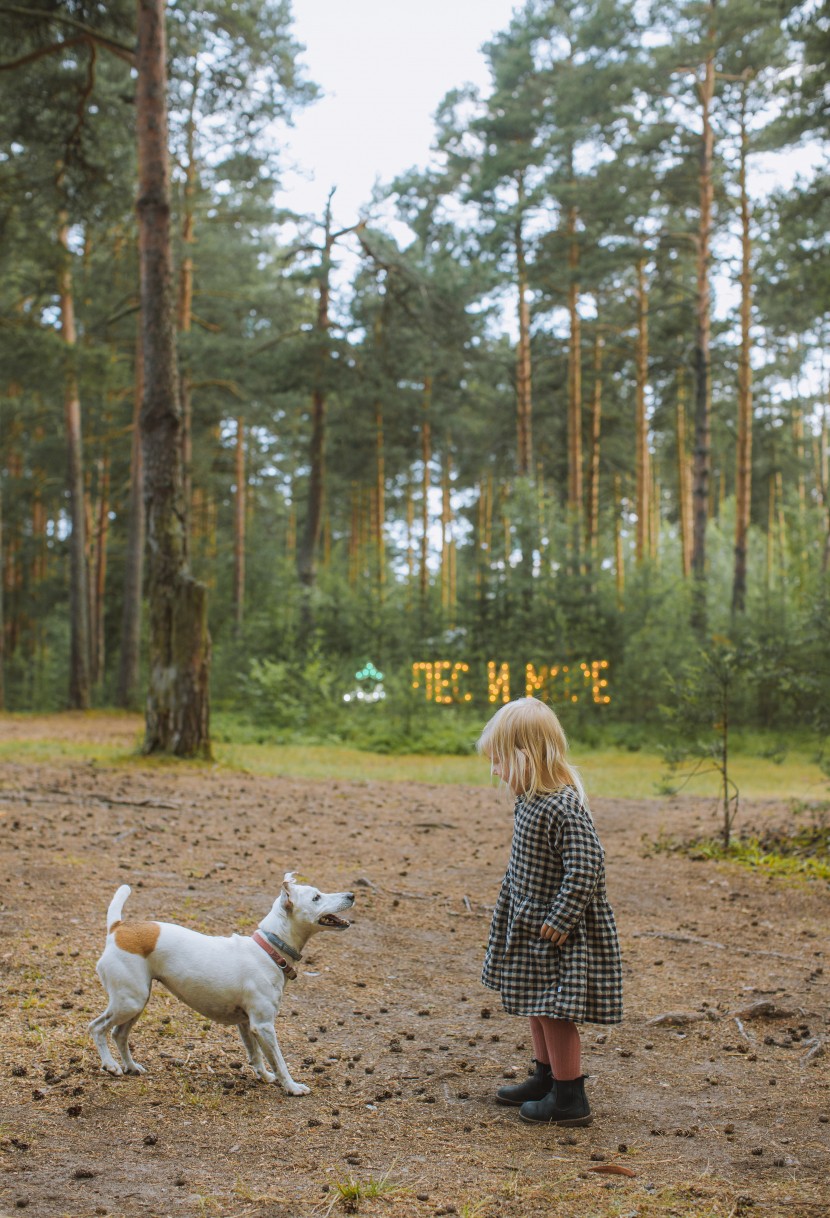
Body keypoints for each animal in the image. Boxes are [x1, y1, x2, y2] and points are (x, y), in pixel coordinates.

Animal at [88, 876, 353, 1096]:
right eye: (316, 897)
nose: (351, 895)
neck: (269, 949)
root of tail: (118, 927)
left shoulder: (247, 1024)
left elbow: (256, 1055)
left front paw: (265, 1076)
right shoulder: (264, 1025)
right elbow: (279, 1062)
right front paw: (292, 1087)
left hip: (137, 1001)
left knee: (119, 1034)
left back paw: (131, 1067)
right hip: (129, 1002)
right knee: (97, 1028)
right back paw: (111, 1065)